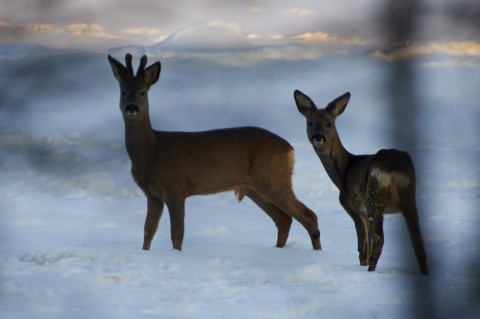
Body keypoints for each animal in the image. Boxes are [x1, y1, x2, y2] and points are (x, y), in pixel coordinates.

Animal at [107, 54, 320, 252]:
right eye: (123, 91)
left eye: (142, 92)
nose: (132, 107)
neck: (151, 151)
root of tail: (290, 148)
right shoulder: (153, 195)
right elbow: (148, 231)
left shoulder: (176, 188)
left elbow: (177, 234)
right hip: (255, 188)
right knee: (284, 220)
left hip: (273, 180)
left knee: (308, 215)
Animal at [294, 90, 430, 276]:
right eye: (310, 122)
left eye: (329, 123)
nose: (318, 137)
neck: (344, 171)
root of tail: (394, 170)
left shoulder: (355, 207)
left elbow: (362, 246)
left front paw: (362, 265)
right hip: (409, 197)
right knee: (418, 241)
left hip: (374, 196)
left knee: (380, 240)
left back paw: (371, 271)